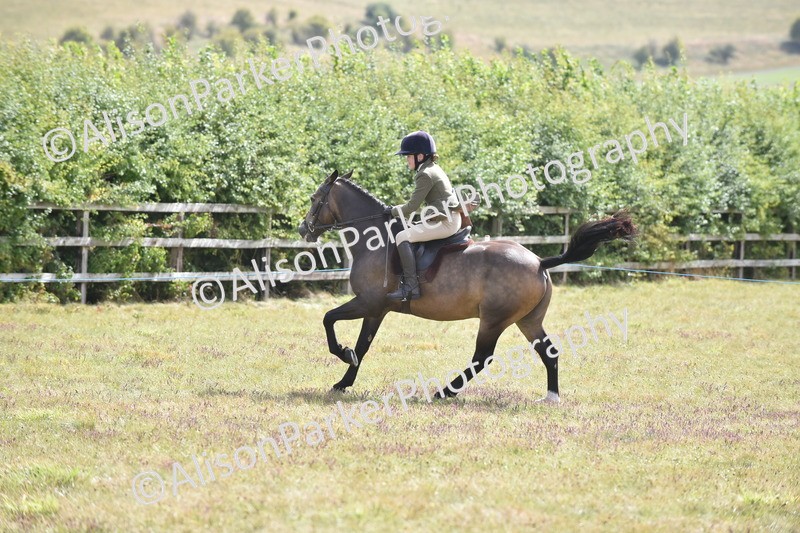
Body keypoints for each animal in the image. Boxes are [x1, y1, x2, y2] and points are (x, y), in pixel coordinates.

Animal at [298, 170, 637, 402]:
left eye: (315, 199)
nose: (303, 229)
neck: (376, 241)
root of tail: (539, 262)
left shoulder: (369, 303)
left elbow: (332, 323)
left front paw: (343, 357)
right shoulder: (375, 309)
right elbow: (360, 343)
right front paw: (344, 380)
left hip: (494, 320)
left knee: (482, 357)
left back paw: (444, 392)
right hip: (528, 320)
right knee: (548, 352)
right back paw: (551, 397)